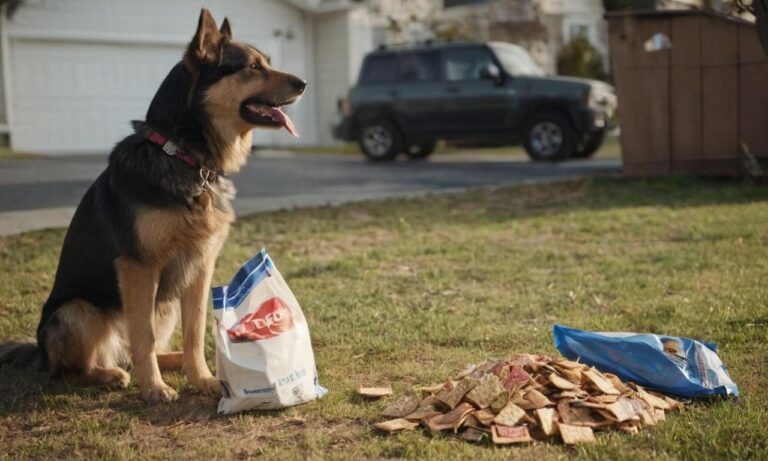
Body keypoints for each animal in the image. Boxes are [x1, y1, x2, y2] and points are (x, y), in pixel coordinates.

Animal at [0, 8, 306, 402]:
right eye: (252, 67)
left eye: (266, 62)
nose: (303, 83)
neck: (185, 157)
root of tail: (40, 351)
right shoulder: (139, 268)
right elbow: (142, 335)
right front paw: (155, 388)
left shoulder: (200, 268)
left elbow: (195, 332)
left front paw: (201, 377)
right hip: (78, 311)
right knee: (77, 368)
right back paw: (109, 374)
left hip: (166, 304)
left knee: (139, 350)